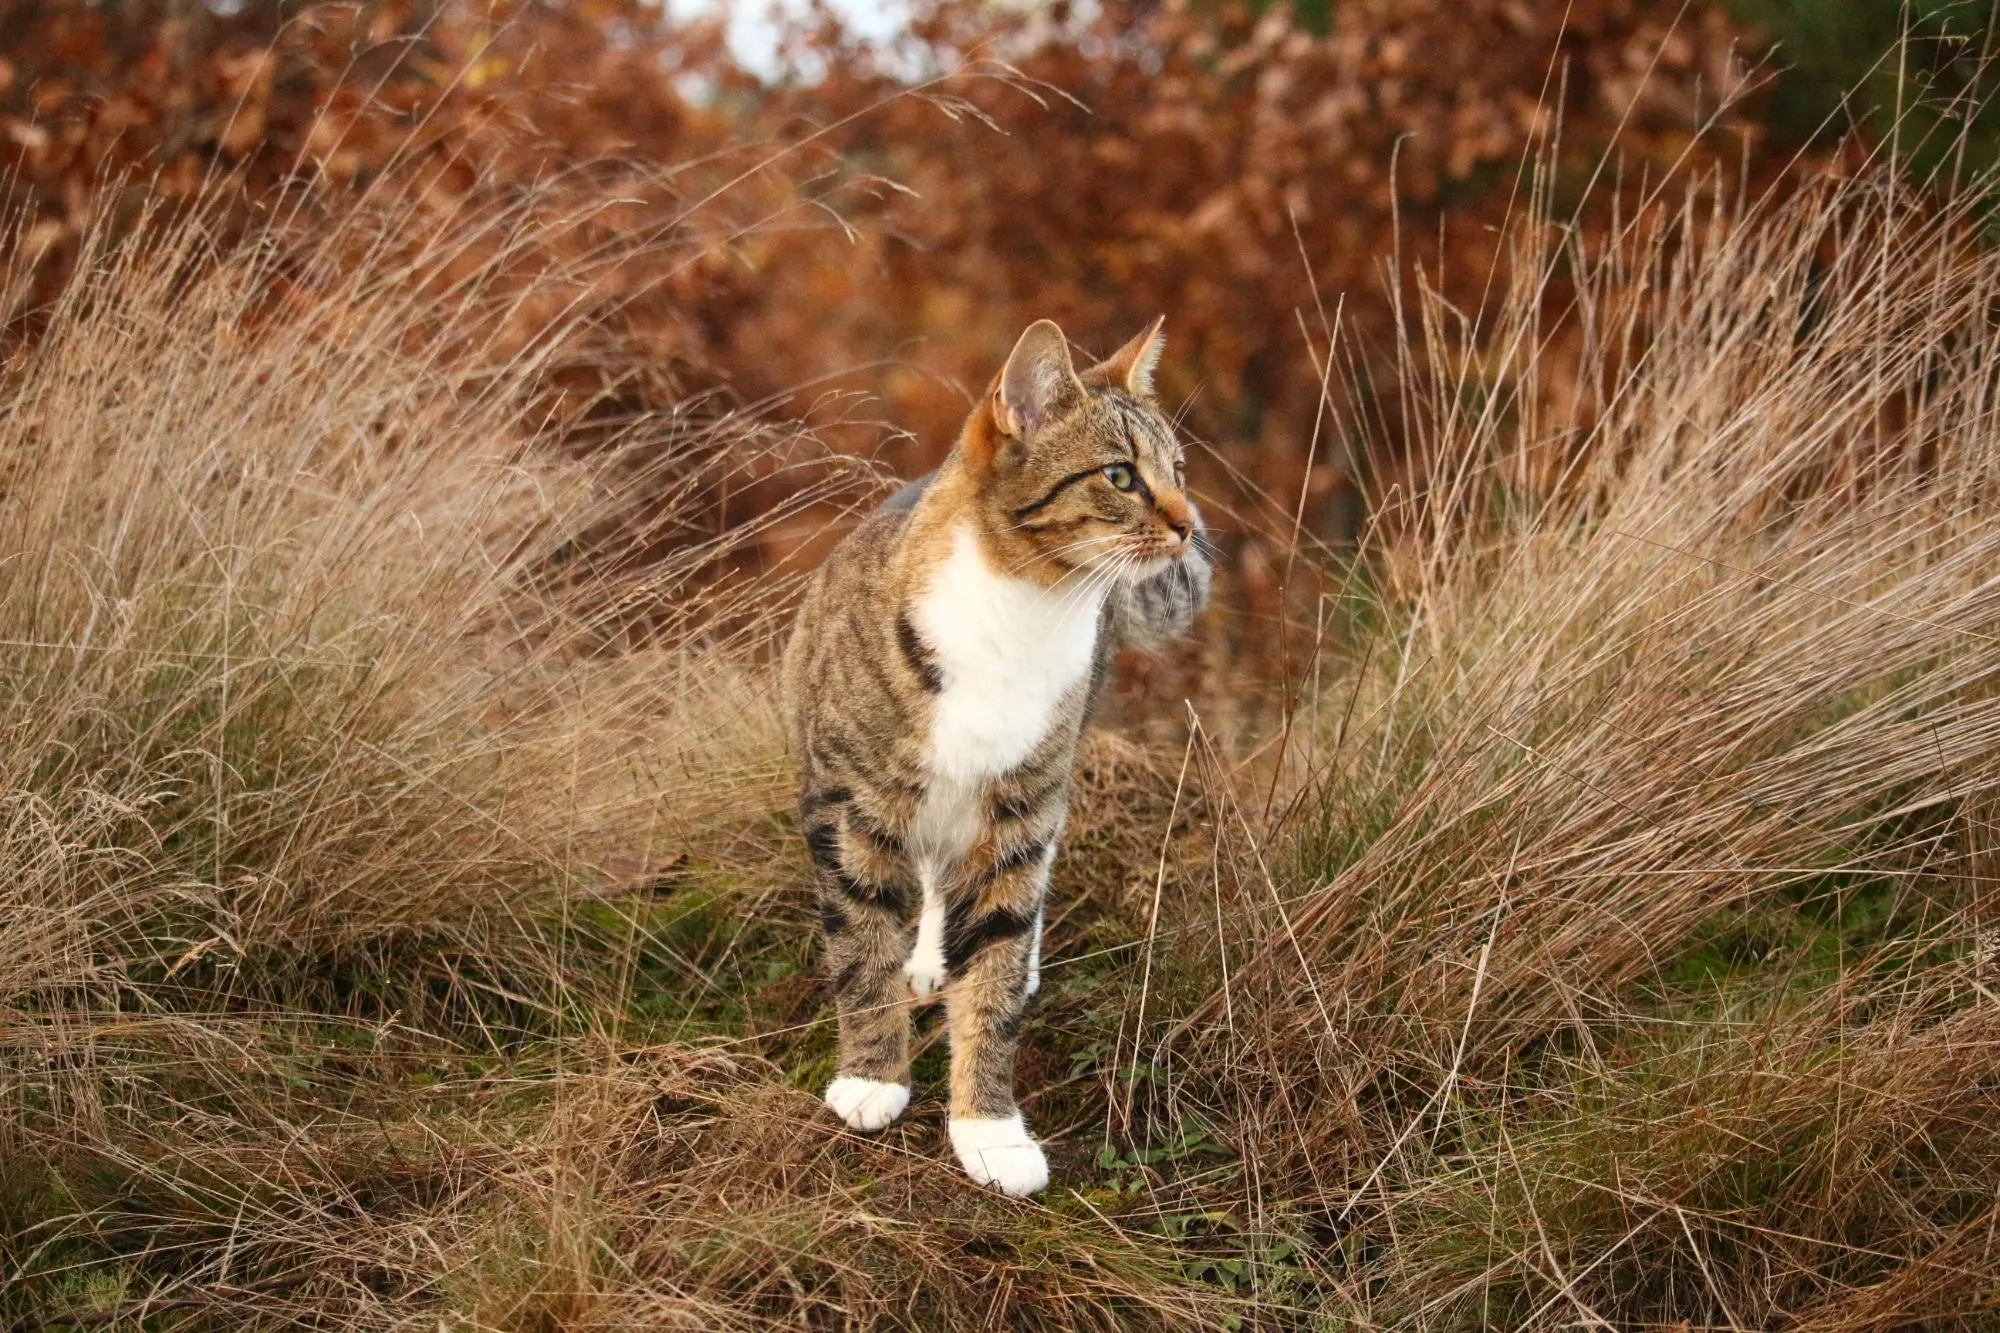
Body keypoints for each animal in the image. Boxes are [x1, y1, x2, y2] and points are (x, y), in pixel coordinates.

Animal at [780, 314, 1208, 1192]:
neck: (1028, 609)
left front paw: (990, 1129)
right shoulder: (849, 808)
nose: (1189, 525)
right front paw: (872, 1077)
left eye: (1178, 471)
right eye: (1120, 475)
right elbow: (861, 947)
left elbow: (997, 972)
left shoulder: (1019, 812)